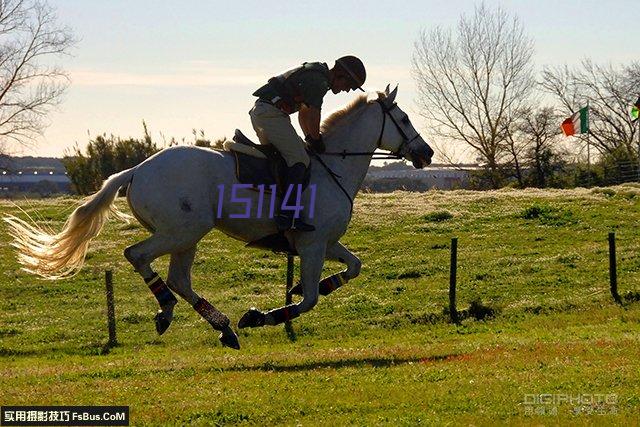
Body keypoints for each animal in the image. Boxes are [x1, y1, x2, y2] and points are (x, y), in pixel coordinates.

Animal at [3, 85, 436, 350]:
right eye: (405, 119)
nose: (427, 153)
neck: (334, 168)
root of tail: (137, 170)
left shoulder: (325, 243)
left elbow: (353, 268)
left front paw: (305, 289)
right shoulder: (312, 244)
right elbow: (309, 299)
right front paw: (260, 316)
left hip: (187, 237)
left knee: (178, 278)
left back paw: (222, 326)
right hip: (182, 231)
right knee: (138, 256)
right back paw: (171, 311)